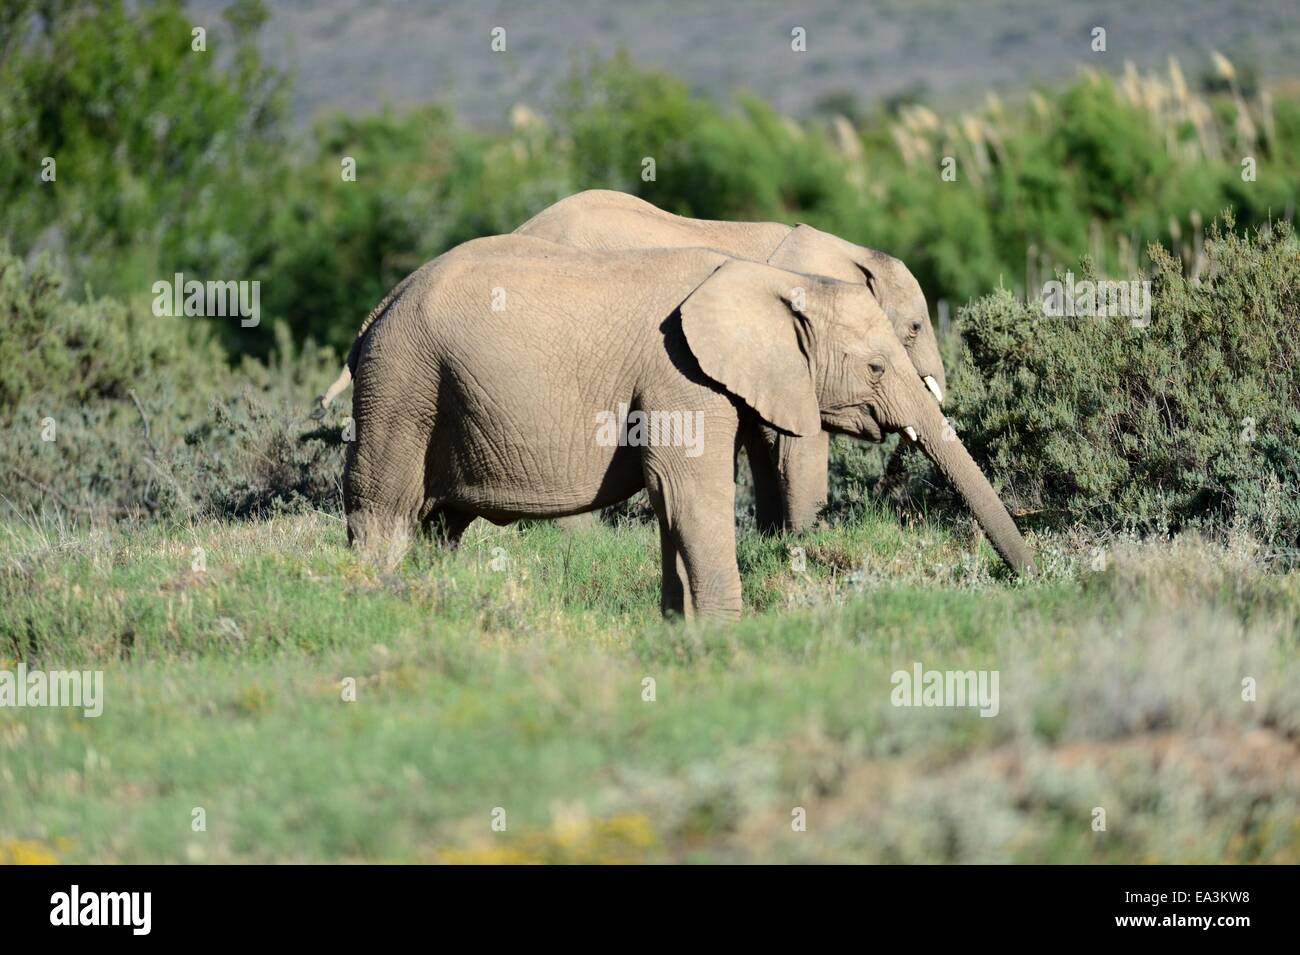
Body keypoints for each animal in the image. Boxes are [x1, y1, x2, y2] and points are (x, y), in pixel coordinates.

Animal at [345, 233, 1034, 621]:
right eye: (876, 366)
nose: (1032, 579)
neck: (771, 279)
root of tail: (376, 310)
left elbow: (676, 502)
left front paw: (683, 633)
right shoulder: (680, 373)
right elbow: (690, 492)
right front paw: (726, 636)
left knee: (440, 527)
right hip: (402, 386)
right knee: (386, 511)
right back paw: (377, 602)